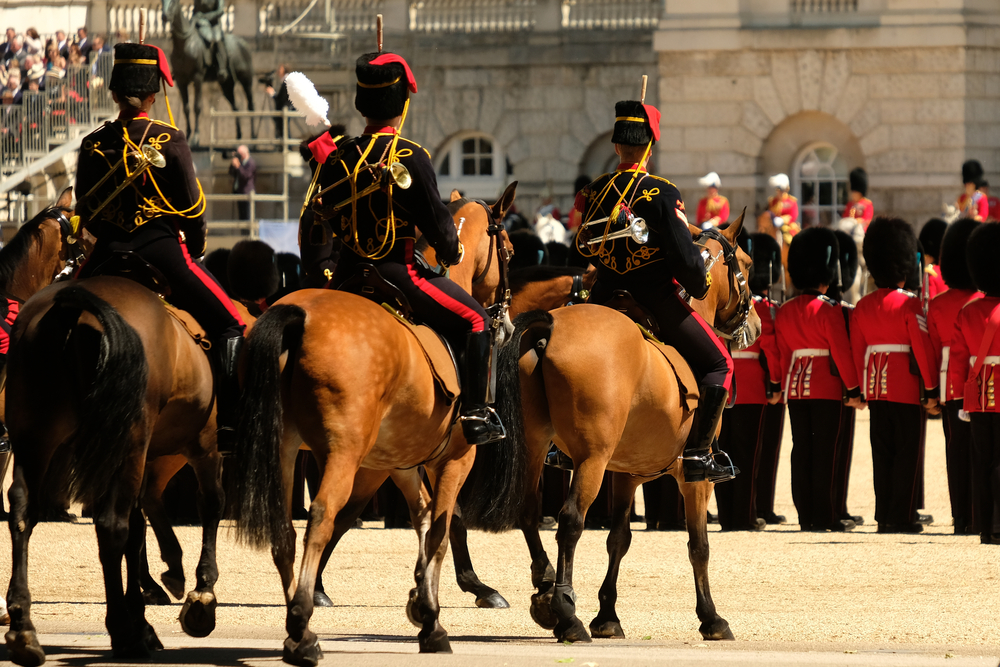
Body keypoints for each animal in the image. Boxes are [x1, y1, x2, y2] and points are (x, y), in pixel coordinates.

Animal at [5, 260, 242, 664]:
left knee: (23, 511)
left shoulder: (134, 455)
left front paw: (144, 617)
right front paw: (200, 598)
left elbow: (138, 529)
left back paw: (24, 628)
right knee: (110, 525)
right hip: (130, 442)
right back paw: (122, 633)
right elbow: (210, 507)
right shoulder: (203, 447)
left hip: (36, 438)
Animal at [161, 0, 256, 146]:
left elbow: (197, 107)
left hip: (246, 80)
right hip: (227, 85)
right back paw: (239, 136)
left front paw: (195, 138)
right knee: (236, 106)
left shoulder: (198, 78)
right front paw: (187, 135)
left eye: (173, 1)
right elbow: (186, 108)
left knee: (251, 105)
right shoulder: (181, 81)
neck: (185, 44)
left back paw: (253, 137)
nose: (165, 16)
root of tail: (243, 43)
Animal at [231, 184, 520, 667]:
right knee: (322, 516)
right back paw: (301, 624)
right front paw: (433, 617)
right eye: (511, 252)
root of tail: (297, 316)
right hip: (341, 455)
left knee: (284, 527)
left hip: (284, 449)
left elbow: (423, 518)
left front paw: (423, 604)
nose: (508, 324)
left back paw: (296, 628)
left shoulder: (397, 463)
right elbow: (441, 528)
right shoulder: (453, 460)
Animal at [458, 213, 760, 640]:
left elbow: (619, 539)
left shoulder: (626, 473)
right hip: (591, 459)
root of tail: (550, 324)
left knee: (529, 511)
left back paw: (544, 590)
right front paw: (712, 618)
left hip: (534, 446)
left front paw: (607, 615)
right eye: (747, 266)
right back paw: (564, 610)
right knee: (569, 521)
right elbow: (698, 545)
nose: (758, 325)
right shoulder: (692, 477)